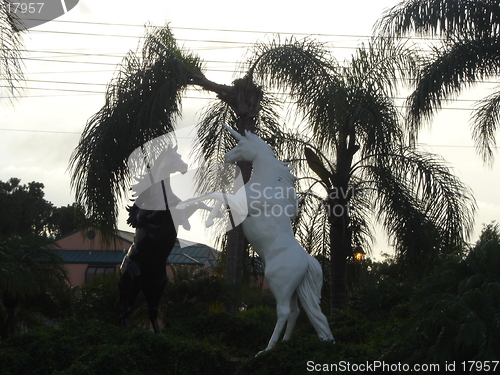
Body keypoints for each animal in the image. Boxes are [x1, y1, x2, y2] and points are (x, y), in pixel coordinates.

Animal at [178, 125, 334, 352]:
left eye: (241, 144)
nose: (226, 157)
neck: (265, 185)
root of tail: (307, 261)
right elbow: (216, 194)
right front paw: (197, 210)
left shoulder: (241, 205)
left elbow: (218, 194)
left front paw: (206, 218)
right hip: (294, 289)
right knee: (296, 312)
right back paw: (283, 345)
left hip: (279, 284)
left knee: (284, 311)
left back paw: (265, 350)